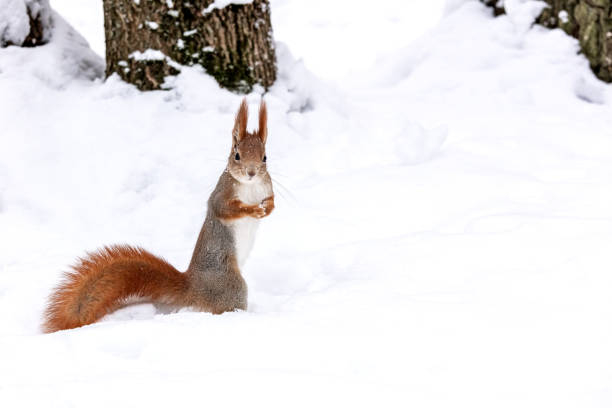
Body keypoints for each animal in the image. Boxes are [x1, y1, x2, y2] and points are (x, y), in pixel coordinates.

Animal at [45, 100, 278, 334]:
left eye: (265, 157)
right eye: (236, 155)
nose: (251, 172)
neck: (250, 186)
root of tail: (192, 287)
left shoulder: (267, 188)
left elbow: (273, 201)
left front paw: (267, 209)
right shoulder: (221, 195)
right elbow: (225, 210)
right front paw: (253, 210)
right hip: (232, 286)